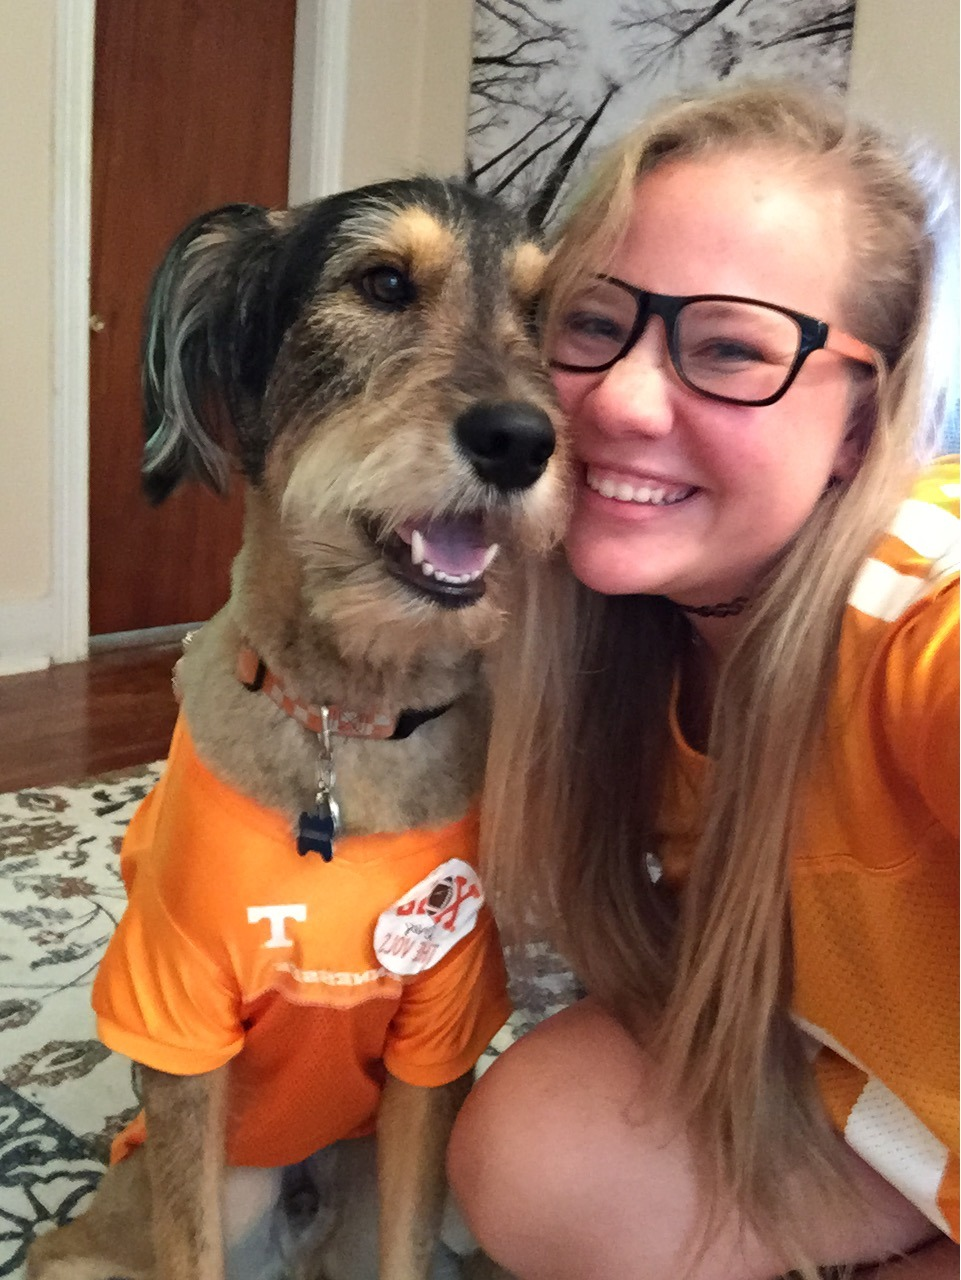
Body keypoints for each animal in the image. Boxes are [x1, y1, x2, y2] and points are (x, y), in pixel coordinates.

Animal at [27, 177, 567, 1280]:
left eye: (542, 314)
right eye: (384, 283)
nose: (521, 440)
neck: (346, 725)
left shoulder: (433, 1051)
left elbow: (407, 1244)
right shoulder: (183, 1031)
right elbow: (187, 1249)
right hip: (187, 1200)